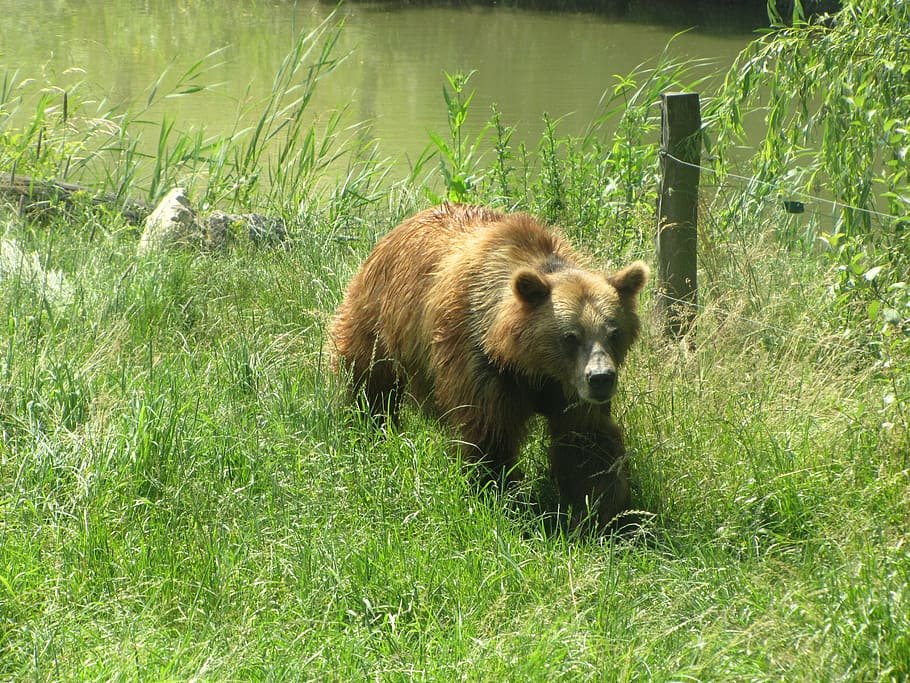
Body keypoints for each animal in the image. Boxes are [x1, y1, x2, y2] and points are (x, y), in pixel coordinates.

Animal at [329, 203, 649, 529]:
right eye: (570, 336)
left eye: (614, 332)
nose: (601, 378)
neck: (529, 364)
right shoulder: (481, 362)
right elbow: (490, 435)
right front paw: (497, 495)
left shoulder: (568, 389)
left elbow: (585, 439)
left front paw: (604, 511)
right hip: (377, 319)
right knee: (370, 382)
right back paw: (370, 426)